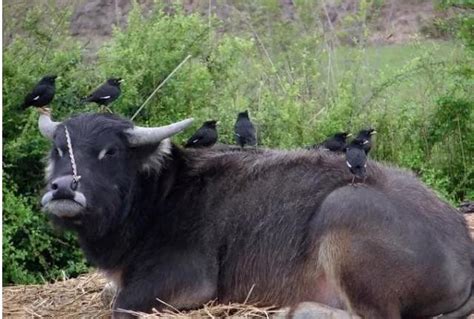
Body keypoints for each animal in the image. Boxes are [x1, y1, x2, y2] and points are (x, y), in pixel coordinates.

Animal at [39, 113, 472, 319]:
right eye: (59, 149)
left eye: (109, 152)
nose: (62, 188)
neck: (159, 196)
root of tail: (463, 250)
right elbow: (109, 293)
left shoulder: (187, 281)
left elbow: (121, 304)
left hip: (343, 210)